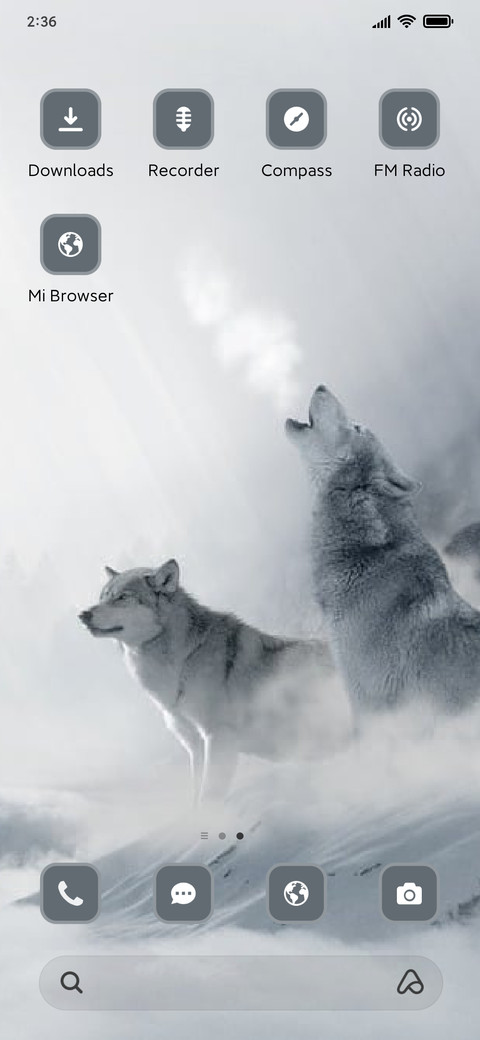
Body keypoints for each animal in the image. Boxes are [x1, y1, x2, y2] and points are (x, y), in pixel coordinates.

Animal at [79, 559, 349, 801]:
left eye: (122, 597)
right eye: (102, 597)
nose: (83, 614)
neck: (184, 660)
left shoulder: (218, 739)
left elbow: (209, 798)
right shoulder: (195, 747)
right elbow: (196, 798)